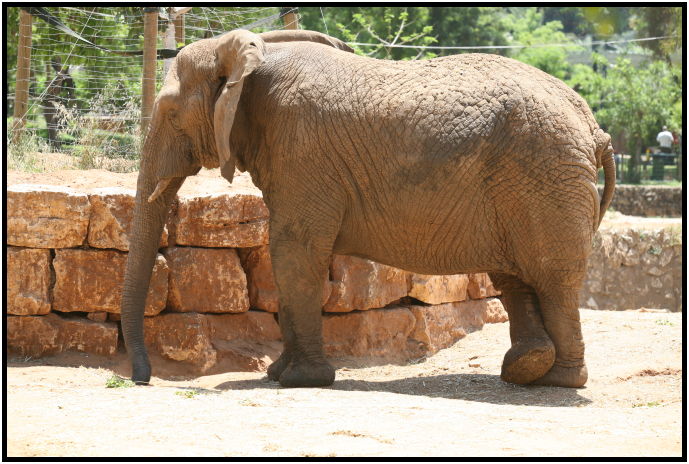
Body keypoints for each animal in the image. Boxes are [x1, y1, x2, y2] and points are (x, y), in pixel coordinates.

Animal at [120, 29, 615, 389]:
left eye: (170, 113)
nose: (142, 380)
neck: (251, 53)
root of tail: (596, 129)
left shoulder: (303, 151)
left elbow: (293, 250)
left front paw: (298, 380)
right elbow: (292, 254)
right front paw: (280, 375)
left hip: (545, 176)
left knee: (553, 279)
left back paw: (560, 381)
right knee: (514, 276)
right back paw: (527, 369)